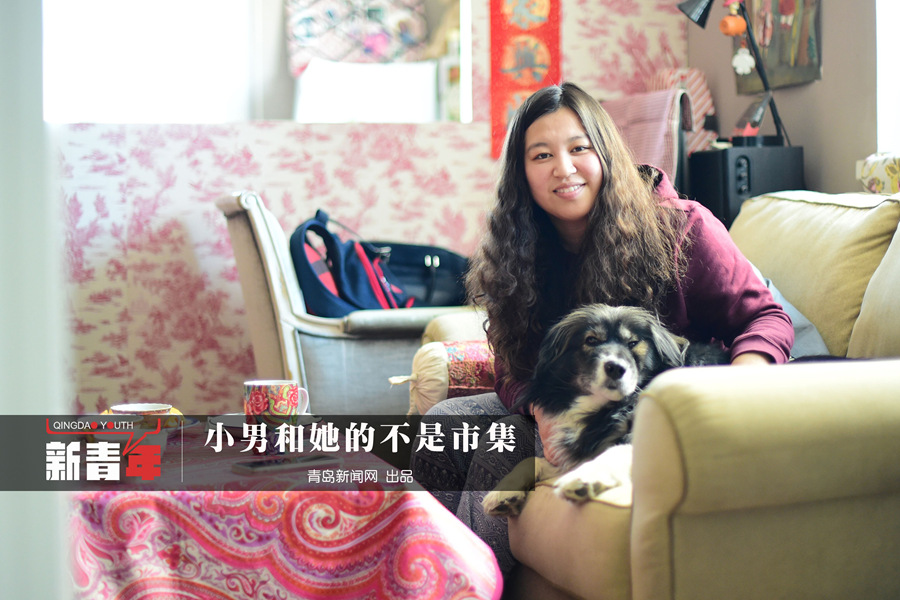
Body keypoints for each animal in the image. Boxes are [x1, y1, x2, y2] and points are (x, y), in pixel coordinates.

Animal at [482, 303, 730, 517]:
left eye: (633, 343)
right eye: (591, 340)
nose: (616, 368)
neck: (604, 406)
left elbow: (614, 452)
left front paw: (586, 477)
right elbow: (532, 460)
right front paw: (504, 492)